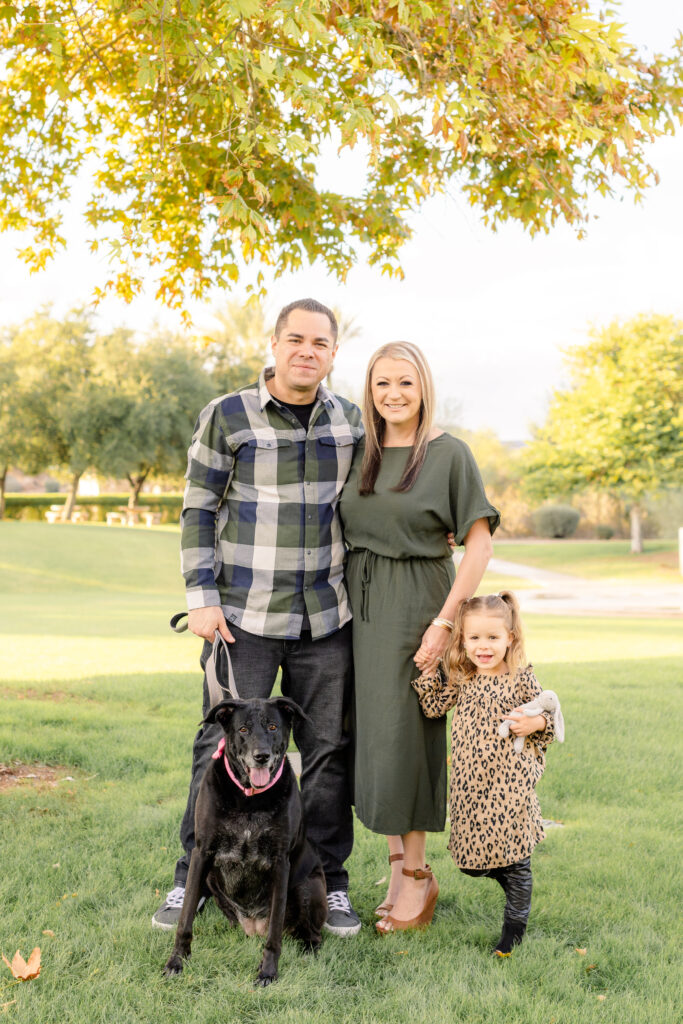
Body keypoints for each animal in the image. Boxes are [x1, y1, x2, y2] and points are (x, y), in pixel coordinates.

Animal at [162, 696, 327, 983]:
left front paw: (268, 971)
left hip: (309, 886)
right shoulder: (202, 854)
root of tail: (252, 926)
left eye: (273, 727)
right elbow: (185, 919)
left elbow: (274, 932)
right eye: (243, 729)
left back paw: (309, 950)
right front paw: (177, 961)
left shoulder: (280, 862)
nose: (261, 756)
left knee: (311, 934)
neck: (249, 798)